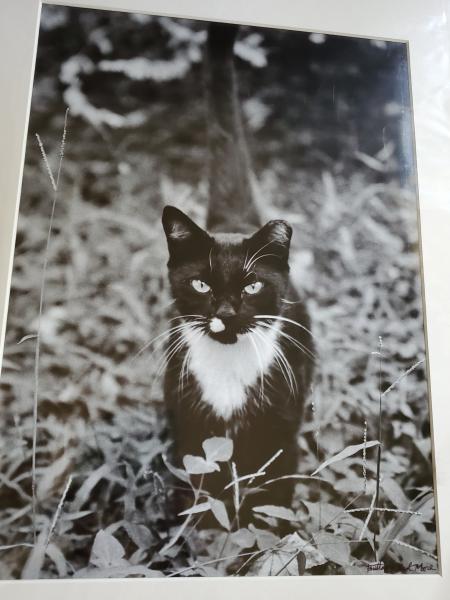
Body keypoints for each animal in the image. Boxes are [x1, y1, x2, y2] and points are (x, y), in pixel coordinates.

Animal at [161, 23, 312, 524]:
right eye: (201, 283)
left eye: (252, 285)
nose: (226, 312)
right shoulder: (191, 428)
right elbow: (197, 487)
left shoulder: (280, 432)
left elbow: (273, 498)